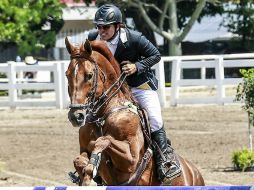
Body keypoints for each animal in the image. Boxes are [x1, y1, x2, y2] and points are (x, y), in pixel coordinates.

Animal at [65, 36, 204, 186]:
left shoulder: (131, 159)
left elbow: (103, 140)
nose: (76, 116)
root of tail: (194, 172)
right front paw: (86, 176)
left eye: (89, 75)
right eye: (67, 75)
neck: (102, 116)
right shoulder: (83, 149)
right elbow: (79, 159)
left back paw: (170, 167)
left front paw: (92, 166)